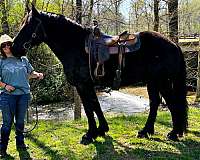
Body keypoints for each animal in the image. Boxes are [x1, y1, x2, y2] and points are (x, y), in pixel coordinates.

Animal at [12, 5, 188, 142]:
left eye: (28, 26)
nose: (14, 48)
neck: (75, 45)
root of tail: (174, 45)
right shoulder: (88, 85)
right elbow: (95, 106)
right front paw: (102, 130)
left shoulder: (83, 85)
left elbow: (89, 108)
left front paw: (90, 134)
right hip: (152, 82)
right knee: (155, 103)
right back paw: (146, 131)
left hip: (162, 82)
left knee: (173, 104)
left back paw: (174, 133)